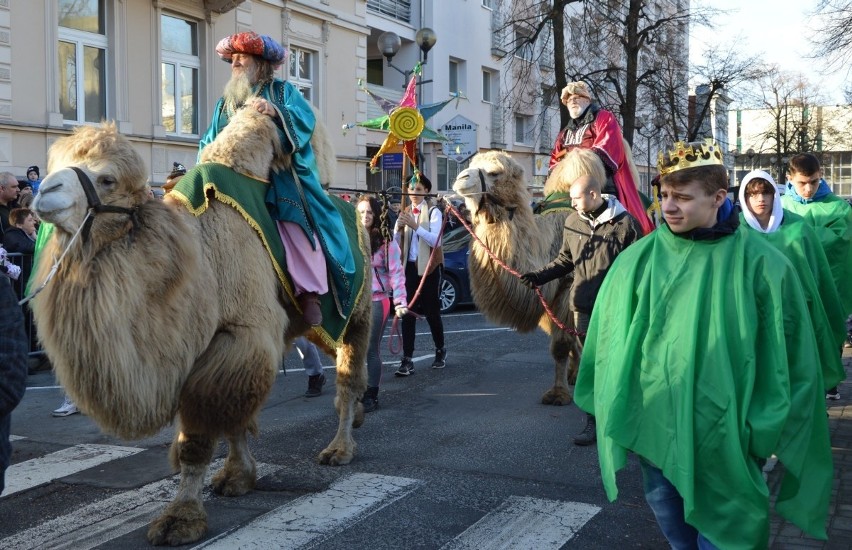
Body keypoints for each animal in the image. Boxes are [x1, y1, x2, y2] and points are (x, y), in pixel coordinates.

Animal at [31, 109, 372, 548]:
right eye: (56, 165)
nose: (44, 192)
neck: (200, 263)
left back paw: (340, 447)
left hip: (356, 312)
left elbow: (197, 438)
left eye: (107, 179)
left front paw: (181, 518)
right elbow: (234, 417)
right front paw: (237, 477)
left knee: (349, 374)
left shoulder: (240, 336)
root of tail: (355, 215)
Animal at [452, 150, 584, 406]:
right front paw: (564, 385)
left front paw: (558, 394)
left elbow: (562, 343)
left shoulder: (569, 285)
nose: (461, 179)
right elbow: (567, 339)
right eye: (472, 165)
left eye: (494, 172)